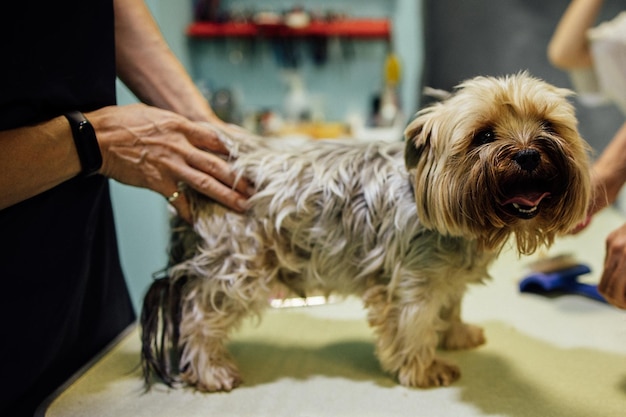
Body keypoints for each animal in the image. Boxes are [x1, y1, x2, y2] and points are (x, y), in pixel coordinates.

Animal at [141, 72, 588, 390]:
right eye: (485, 135)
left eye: (548, 126)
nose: (529, 154)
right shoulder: (411, 280)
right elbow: (415, 324)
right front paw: (424, 368)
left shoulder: (445, 277)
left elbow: (450, 305)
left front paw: (456, 333)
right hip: (239, 264)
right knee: (199, 316)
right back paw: (210, 371)